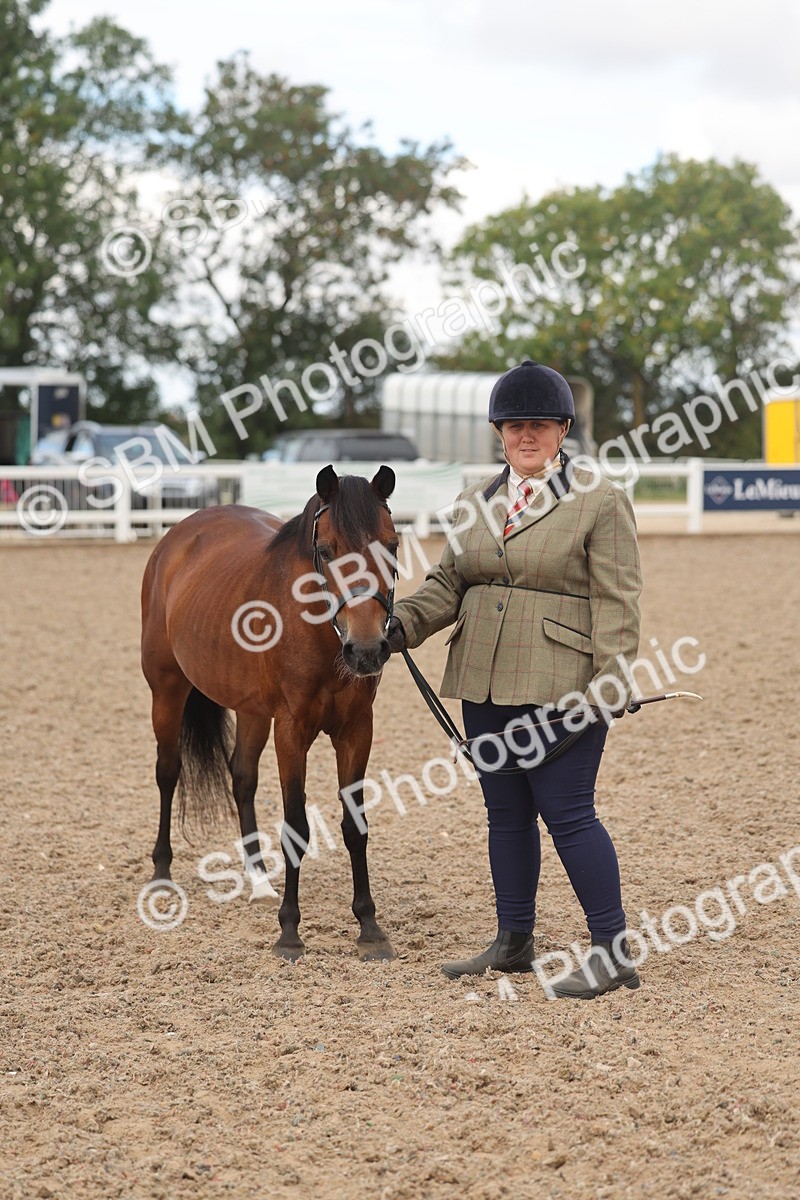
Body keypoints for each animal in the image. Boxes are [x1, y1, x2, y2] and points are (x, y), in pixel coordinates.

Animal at [140, 464, 399, 962]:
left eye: (392, 545)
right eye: (325, 550)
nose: (366, 650)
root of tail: (180, 535)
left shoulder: (358, 729)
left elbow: (355, 825)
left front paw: (370, 927)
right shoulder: (292, 731)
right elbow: (295, 825)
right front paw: (290, 931)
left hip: (253, 713)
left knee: (241, 776)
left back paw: (259, 881)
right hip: (167, 690)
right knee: (167, 771)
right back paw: (161, 873)